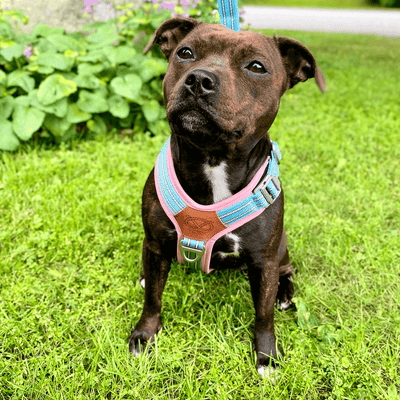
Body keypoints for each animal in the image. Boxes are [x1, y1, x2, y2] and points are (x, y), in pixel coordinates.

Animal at [130, 15, 326, 378]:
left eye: (257, 67)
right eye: (185, 52)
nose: (199, 80)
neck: (213, 158)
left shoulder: (264, 261)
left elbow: (263, 315)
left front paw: (266, 356)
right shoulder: (155, 243)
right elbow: (153, 297)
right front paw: (145, 335)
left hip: (280, 247)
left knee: (286, 272)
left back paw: (285, 294)